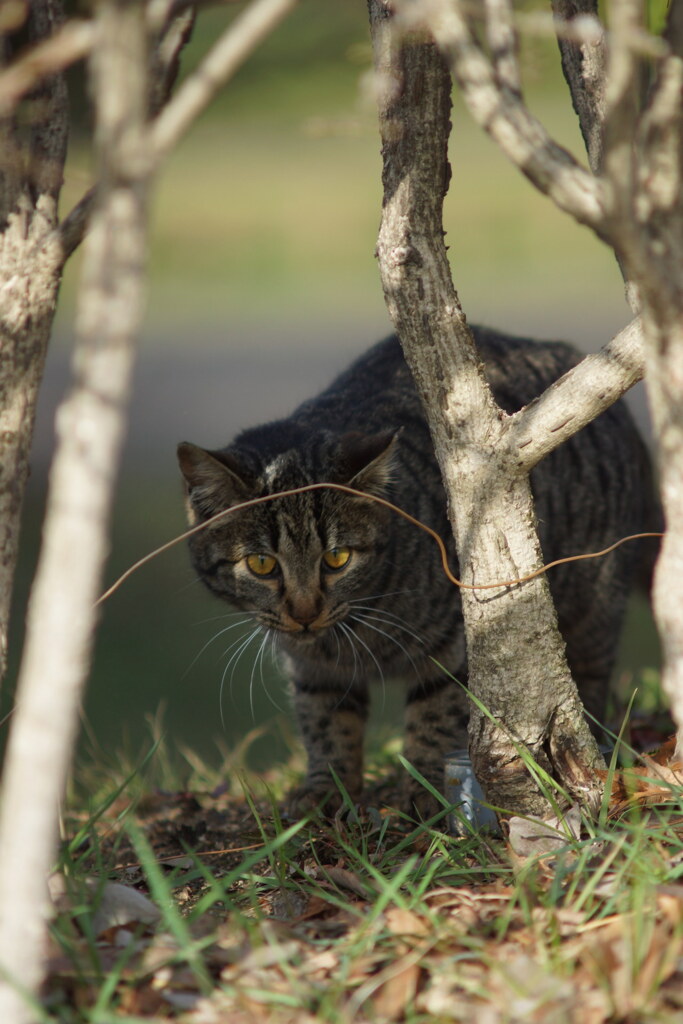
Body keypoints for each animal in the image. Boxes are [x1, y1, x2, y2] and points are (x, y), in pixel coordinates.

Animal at [179, 327, 659, 815]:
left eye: (337, 558)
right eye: (262, 564)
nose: (305, 612)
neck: (352, 634)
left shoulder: (454, 646)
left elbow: (435, 716)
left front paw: (424, 794)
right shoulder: (313, 670)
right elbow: (326, 724)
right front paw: (327, 790)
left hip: (594, 604)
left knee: (590, 679)